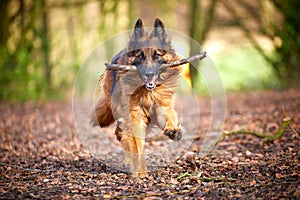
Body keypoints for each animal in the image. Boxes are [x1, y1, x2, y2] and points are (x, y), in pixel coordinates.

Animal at [94, 18, 183, 178]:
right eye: (140, 56)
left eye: (157, 55)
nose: (149, 74)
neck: (148, 93)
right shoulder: (135, 116)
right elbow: (137, 144)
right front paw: (140, 171)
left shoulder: (162, 105)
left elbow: (169, 115)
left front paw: (173, 130)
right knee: (120, 133)